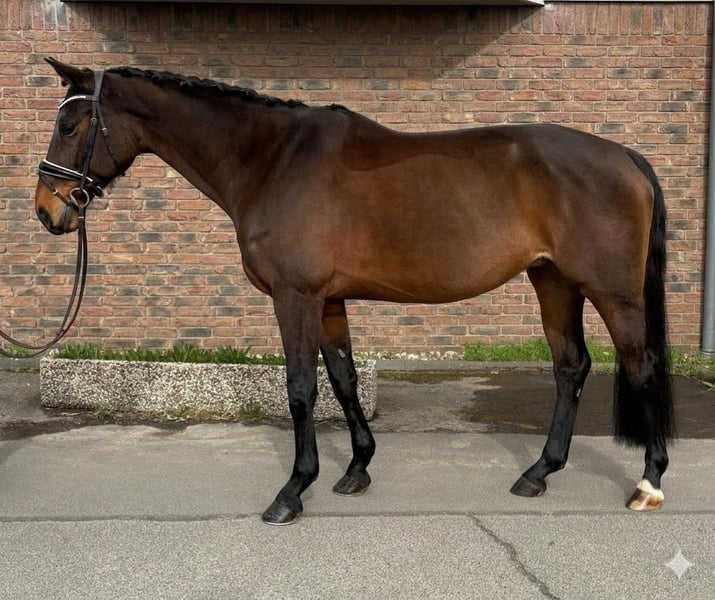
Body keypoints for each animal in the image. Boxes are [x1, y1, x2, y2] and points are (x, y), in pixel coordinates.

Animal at [34, 58, 674, 525]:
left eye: (69, 125)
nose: (47, 211)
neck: (272, 161)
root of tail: (625, 156)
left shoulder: (294, 296)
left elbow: (300, 389)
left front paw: (292, 491)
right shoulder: (329, 300)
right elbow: (342, 378)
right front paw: (356, 469)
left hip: (612, 293)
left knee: (639, 366)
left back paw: (647, 483)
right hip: (553, 282)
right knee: (570, 366)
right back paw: (539, 473)